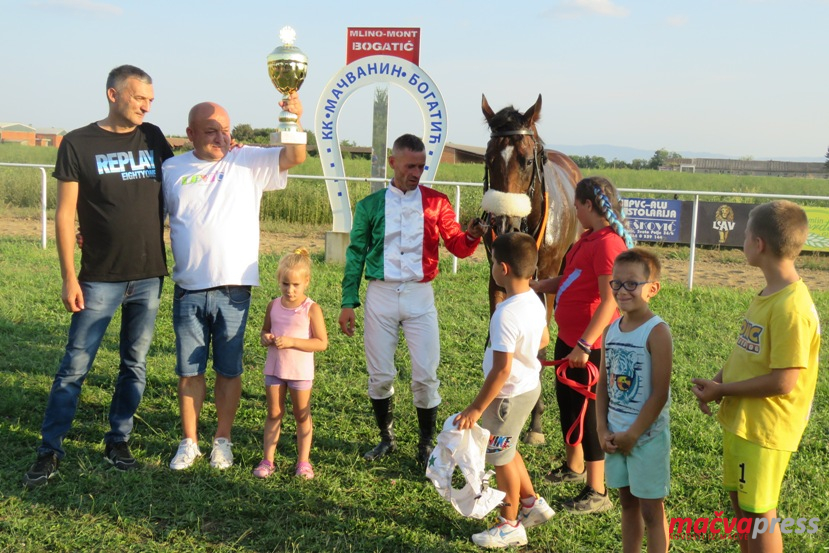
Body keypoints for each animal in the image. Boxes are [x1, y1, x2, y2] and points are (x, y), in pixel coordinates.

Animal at [478, 92, 584, 442]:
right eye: (489, 159)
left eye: (525, 160)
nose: (504, 223)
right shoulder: (497, 280)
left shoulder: (547, 280)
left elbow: (539, 348)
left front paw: (535, 422)